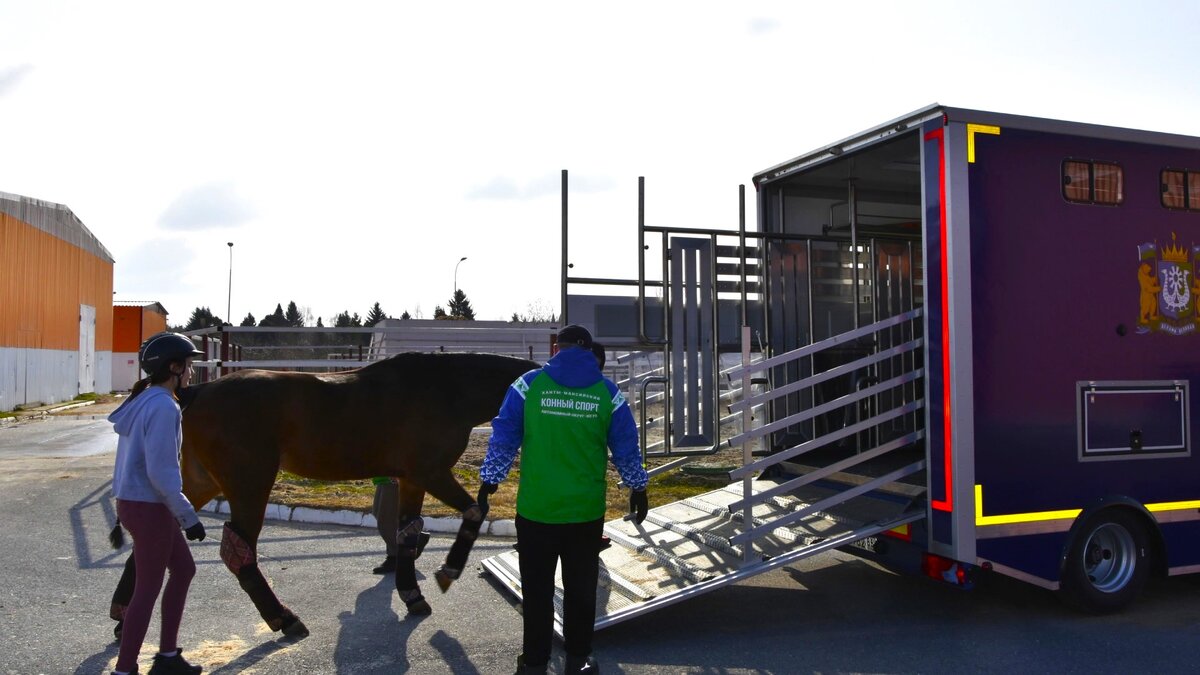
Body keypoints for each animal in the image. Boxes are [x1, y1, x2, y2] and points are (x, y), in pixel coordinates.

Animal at [108, 348, 540, 638]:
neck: (445, 390)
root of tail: (196, 392)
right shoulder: (430, 472)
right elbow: (474, 512)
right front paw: (448, 571)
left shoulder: (412, 480)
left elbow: (408, 532)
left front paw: (411, 593)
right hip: (249, 483)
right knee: (239, 551)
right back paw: (283, 618)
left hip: (202, 482)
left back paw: (123, 613)